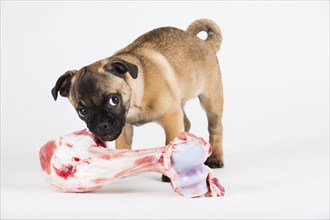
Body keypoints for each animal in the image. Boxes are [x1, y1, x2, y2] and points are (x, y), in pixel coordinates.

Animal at [52, 18, 224, 180]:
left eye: (114, 100)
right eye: (82, 111)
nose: (101, 125)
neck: (135, 100)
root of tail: (205, 43)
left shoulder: (171, 118)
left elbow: (171, 143)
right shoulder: (123, 126)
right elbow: (123, 147)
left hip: (211, 100)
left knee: (215, 127)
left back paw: (215, 157)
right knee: (186, 123)